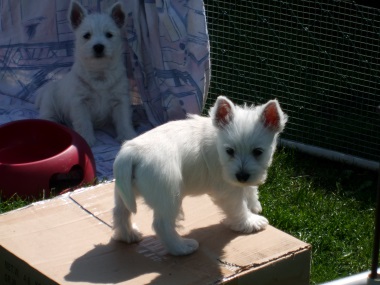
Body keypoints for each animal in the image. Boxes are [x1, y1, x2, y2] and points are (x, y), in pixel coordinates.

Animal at [34, 1, 135, 145]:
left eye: (109, 34)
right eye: (87, 35)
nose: (98, 47)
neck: (99, 72)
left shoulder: (120, 100)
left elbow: (123, 120)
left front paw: (128, 136)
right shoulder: (80, 103)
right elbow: (83, 122)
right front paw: (86, 138)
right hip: (50, 103)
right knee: (48, 116)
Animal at [113, 95, 288, 255]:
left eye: (258, 152)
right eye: (229, 151)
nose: (242, 176)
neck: (218, 142)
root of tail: (131, 152)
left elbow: (249, 189)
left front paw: (254, 204)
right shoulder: (227, 189)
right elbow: (238, 206)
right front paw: (250, 222)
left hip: (125, 191)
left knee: (120, 212)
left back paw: (128, 235)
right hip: (169, 195)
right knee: (162, 225)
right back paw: (182, 247)